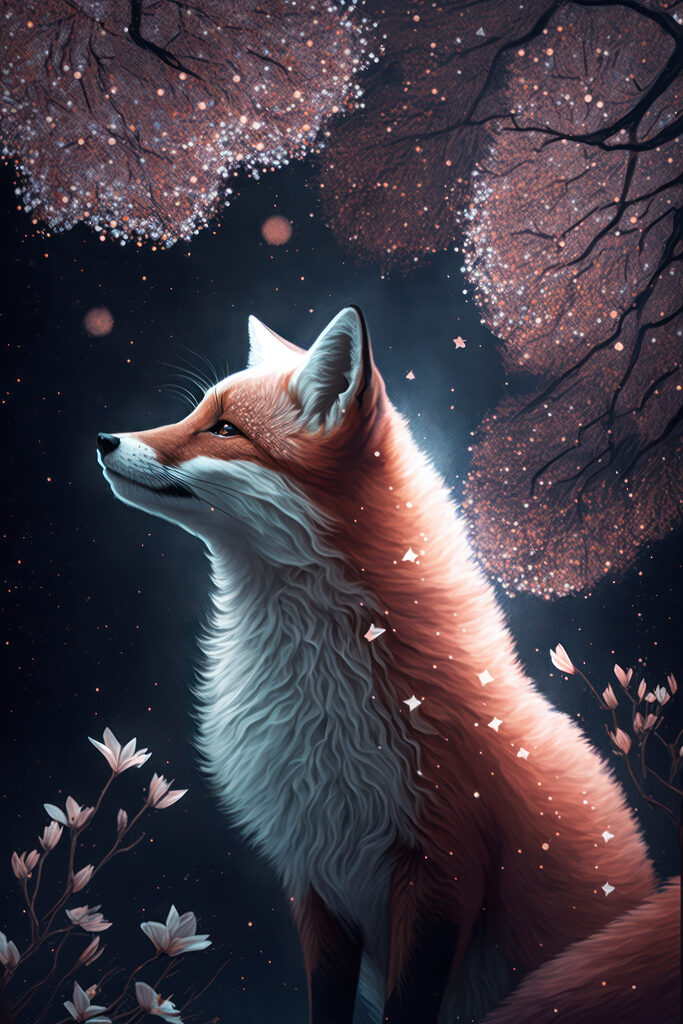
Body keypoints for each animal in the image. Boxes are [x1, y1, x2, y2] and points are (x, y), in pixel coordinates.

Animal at [97, 306, 680, 1024]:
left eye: (225, 429)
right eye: (195, 412)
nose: (105, 439)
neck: (317, 698)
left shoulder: (444, 874)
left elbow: (408, 1004)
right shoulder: (316, 878)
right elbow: (326, 1002)